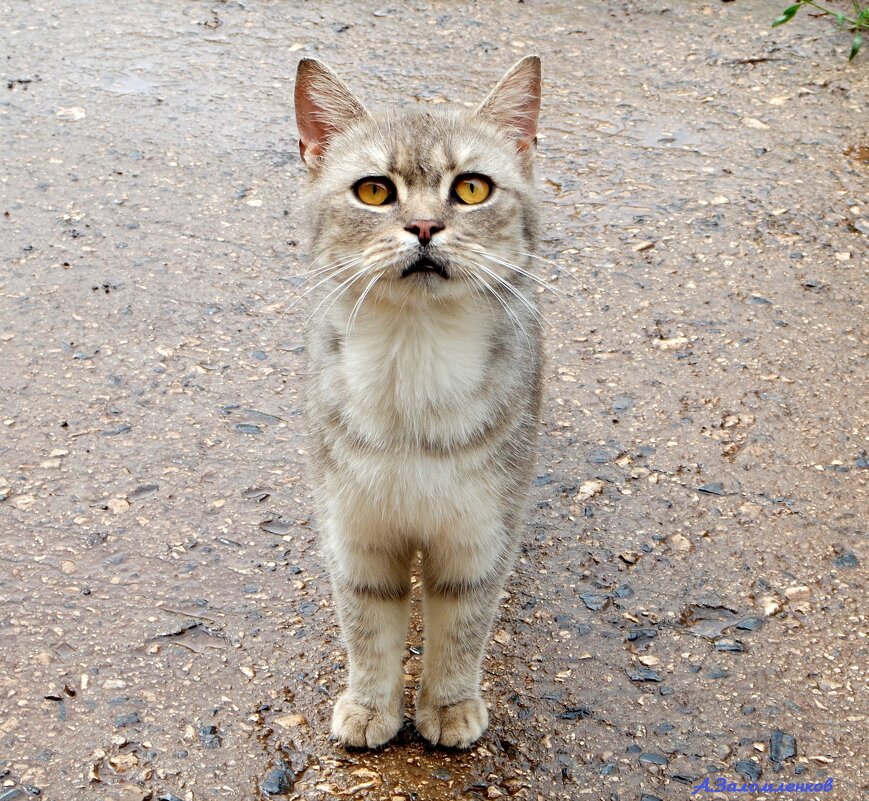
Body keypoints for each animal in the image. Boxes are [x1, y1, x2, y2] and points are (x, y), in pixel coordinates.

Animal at [294, 56, 544, 752]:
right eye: (375, 191)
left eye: (473, 189)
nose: (427, 227)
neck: (414, 358)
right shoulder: (356, 538)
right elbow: (367, 634)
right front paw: (369, 707)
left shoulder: (478, 540)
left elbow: (460, 634)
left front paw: (450, 706)